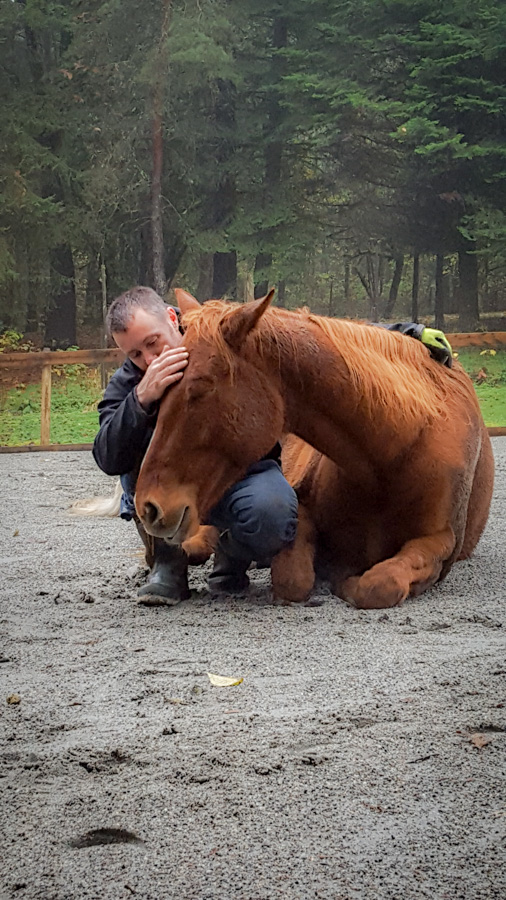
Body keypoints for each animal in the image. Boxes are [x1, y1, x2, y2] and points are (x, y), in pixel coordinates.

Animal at [132, 292, 492, 608]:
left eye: (200, 387)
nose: (148, 506)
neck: (390, 457)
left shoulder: (439, 544)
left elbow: (381, 584)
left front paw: (349, 583)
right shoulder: (301, 511)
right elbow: (292, 580)